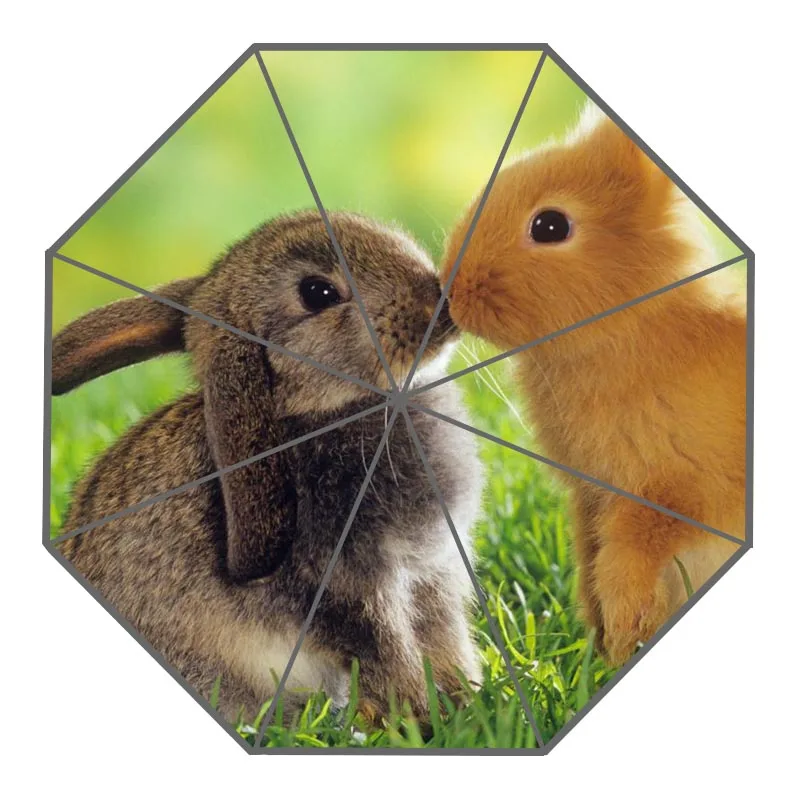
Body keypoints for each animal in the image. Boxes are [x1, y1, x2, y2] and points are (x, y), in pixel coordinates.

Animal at [52, 210, 484, 726]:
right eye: (318, 293)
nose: (439, 302)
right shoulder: (347, 584)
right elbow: (387, 650)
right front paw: (419, 716)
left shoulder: (433, 572)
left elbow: (445, 640)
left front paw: (467, 701)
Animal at [441, 104, 746, 665]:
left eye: (550, 225)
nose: (451, 288)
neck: (630, 326)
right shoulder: (589, 498)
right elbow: (591, 557)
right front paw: (603, 646)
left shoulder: (674, 493)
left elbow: (625, 556)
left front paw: (625, 633)